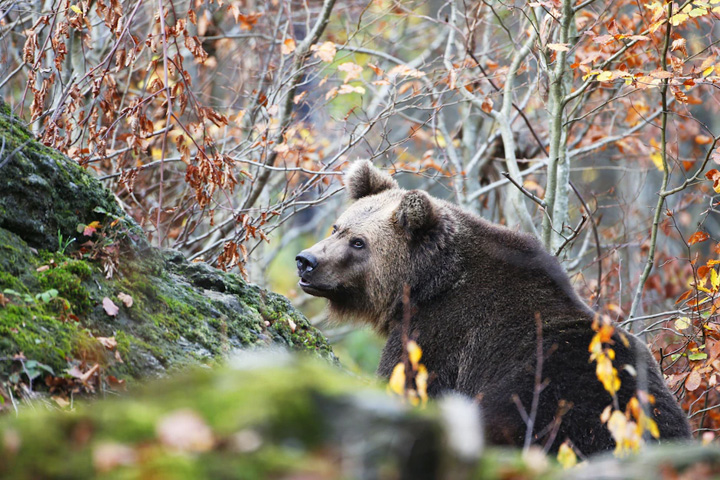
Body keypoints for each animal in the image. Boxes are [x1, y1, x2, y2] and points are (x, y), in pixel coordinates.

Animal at [294, 160, 692, 454]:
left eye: (359, 242)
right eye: (337, 227)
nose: (306, 260)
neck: (425, 285)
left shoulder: (438, 337)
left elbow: (405, 382)